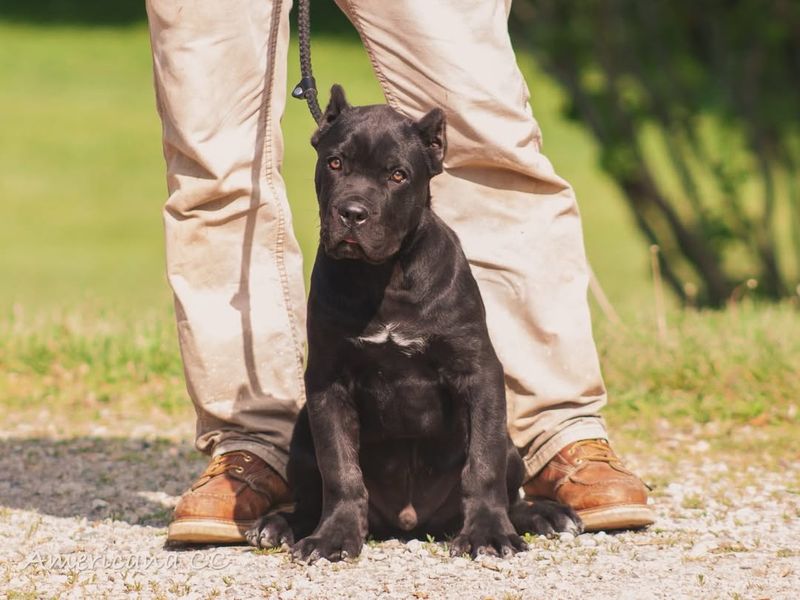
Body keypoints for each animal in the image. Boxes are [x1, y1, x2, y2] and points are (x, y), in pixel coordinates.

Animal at [245, 85, 580, 564]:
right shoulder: (328, 383)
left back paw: (546, 516)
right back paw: (278, 525)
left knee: (508, 487)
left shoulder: (478, 372)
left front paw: (488, 532)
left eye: (398, 175)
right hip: (302, 433)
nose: (352, 213)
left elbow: (482, 464)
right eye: (335, 163)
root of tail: (409, 521)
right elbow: (340, 469)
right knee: (311, 498)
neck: (384, 277)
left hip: (511, 447)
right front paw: (334, 537)